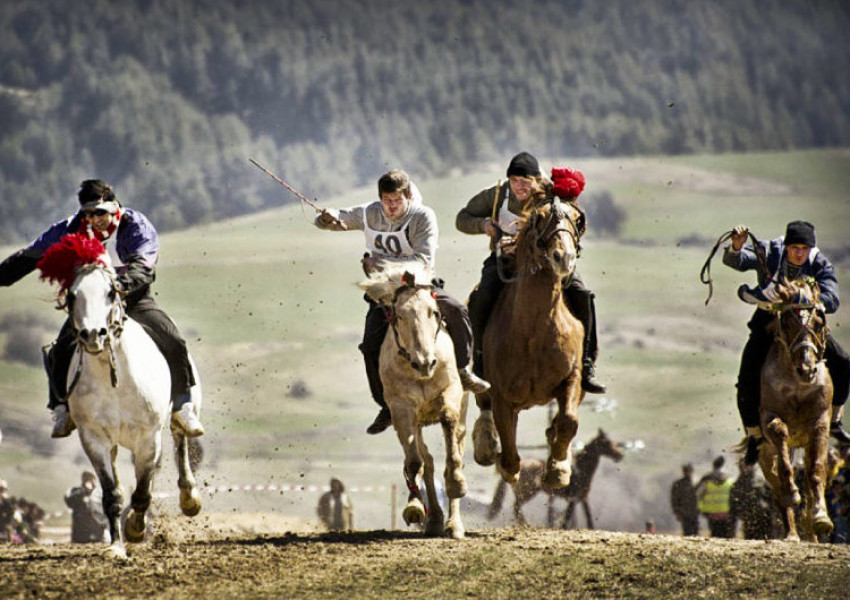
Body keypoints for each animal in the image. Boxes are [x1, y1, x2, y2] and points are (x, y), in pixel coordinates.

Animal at [38, 236, 202, 556]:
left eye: (111, 291)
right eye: (73, 295)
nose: (94, 335)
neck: (114, 379)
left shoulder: (148, 437)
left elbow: (143, 492)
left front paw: (136, 528)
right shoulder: (94, 439)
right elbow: (112, 494)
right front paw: (116, 546)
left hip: (176, 420)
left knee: (180, 441)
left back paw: (189, 497)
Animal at [356, 264, 468, 536]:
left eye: (434, 312)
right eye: (398, 316)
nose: (425, 362)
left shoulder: (451, 391)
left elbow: (448, 425)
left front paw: (456, 483)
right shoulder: (401, 409)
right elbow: (415, 462)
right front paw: (415, 507)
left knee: (457, 446)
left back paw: (453, 524)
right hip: (415, 421)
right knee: (426, 460)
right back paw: (435, 519)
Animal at [470, 197, 584, 488]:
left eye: (577, 219)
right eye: (539, 218)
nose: (563, 257)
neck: (534, 331)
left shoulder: (572, 377)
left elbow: (568, 420)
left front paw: (558, 469)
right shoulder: (502, 396)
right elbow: (510, 456)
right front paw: (506, 465)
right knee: (484, 407)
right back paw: (486, 445)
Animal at [484, 428, 624, 528]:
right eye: (607, 443)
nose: (620, 455)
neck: (582, 470)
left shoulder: (581, 498)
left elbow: (584, 518)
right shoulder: (576, 498)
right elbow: (570, 518)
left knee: (516, 508)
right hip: (527, 492)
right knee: (516, 506)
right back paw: (526, 525)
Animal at [752, 278, 832, 540]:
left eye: (819, 322)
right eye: (786, 322)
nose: (806, 369)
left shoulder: (820, 422)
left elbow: (816, 471)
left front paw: (820, 517)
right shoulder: (768, 418)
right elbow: (780, 437)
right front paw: (790, 491)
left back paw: (813, 530)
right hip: (764, 454)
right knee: (776, 487)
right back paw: (791, 534)